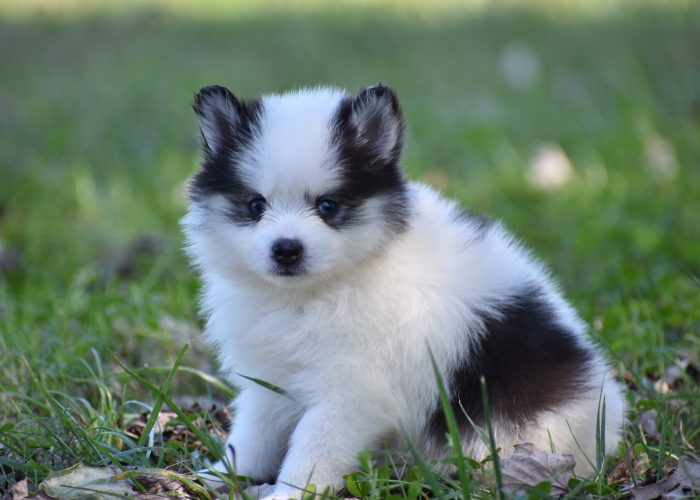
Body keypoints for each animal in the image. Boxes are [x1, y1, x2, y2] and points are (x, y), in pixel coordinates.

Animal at [180, 84, 624, 498]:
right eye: (255, 206)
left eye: (328, 206)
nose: (286, 248)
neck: (314, 293)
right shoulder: (270, 378)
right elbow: (253, 434)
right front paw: (222, 475)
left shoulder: (352, 390)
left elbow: (314, 448)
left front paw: (289, 491)